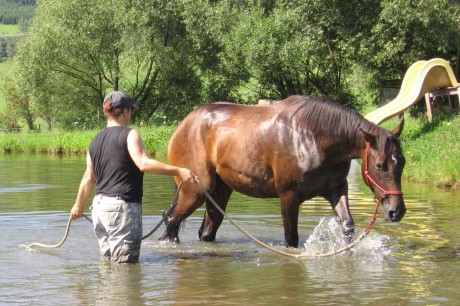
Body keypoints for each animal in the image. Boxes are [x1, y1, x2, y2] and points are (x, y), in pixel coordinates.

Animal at [159, 94, 406, 247]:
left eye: (402, 162)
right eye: (380, 165)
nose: (396, 211)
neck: (314, 138)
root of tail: (183, 125)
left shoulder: (336, 189)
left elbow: (347, 225)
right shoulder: (288, 196)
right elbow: (291, 239)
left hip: (219, 192)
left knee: (206, 231)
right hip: (195, 190)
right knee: (171, 220)